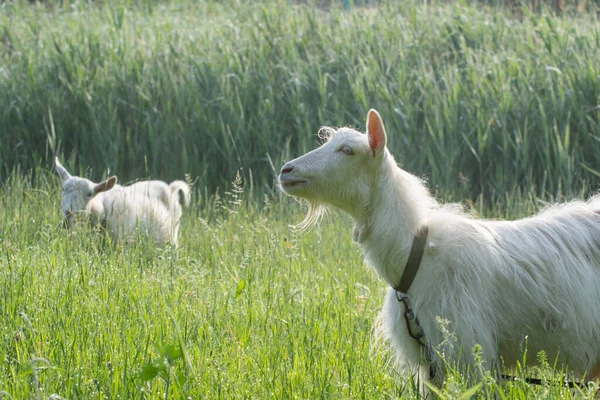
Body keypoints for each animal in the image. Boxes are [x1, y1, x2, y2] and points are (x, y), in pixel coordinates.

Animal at [54, 157, 190, 247]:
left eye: (89, 194)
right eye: (63, 189)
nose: (69, 212)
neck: (103, 209)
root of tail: (171, 188)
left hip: (172, 236)